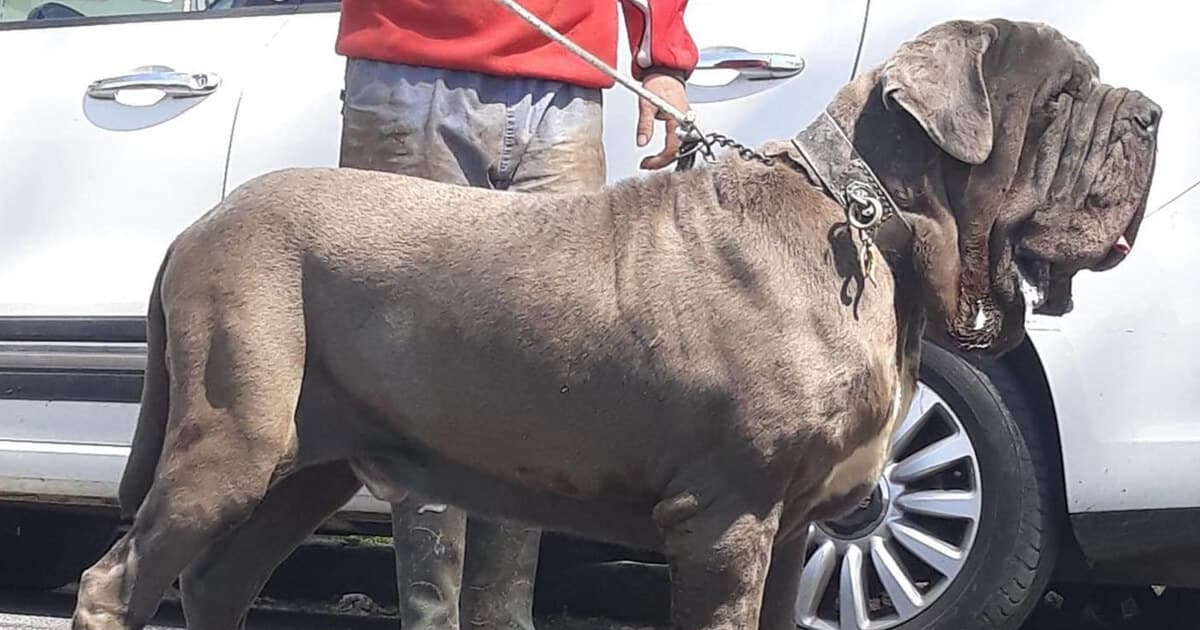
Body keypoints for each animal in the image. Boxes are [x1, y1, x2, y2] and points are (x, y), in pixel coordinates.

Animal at [70, 17, 1156, 628]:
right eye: (1061, 98)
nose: (1149, 112)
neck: (867, 219)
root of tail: (199, 226)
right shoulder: (726, 518)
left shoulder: (794, 524)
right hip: (232, 438)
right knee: (118, 580)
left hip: (307, 463)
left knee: (214, 583)